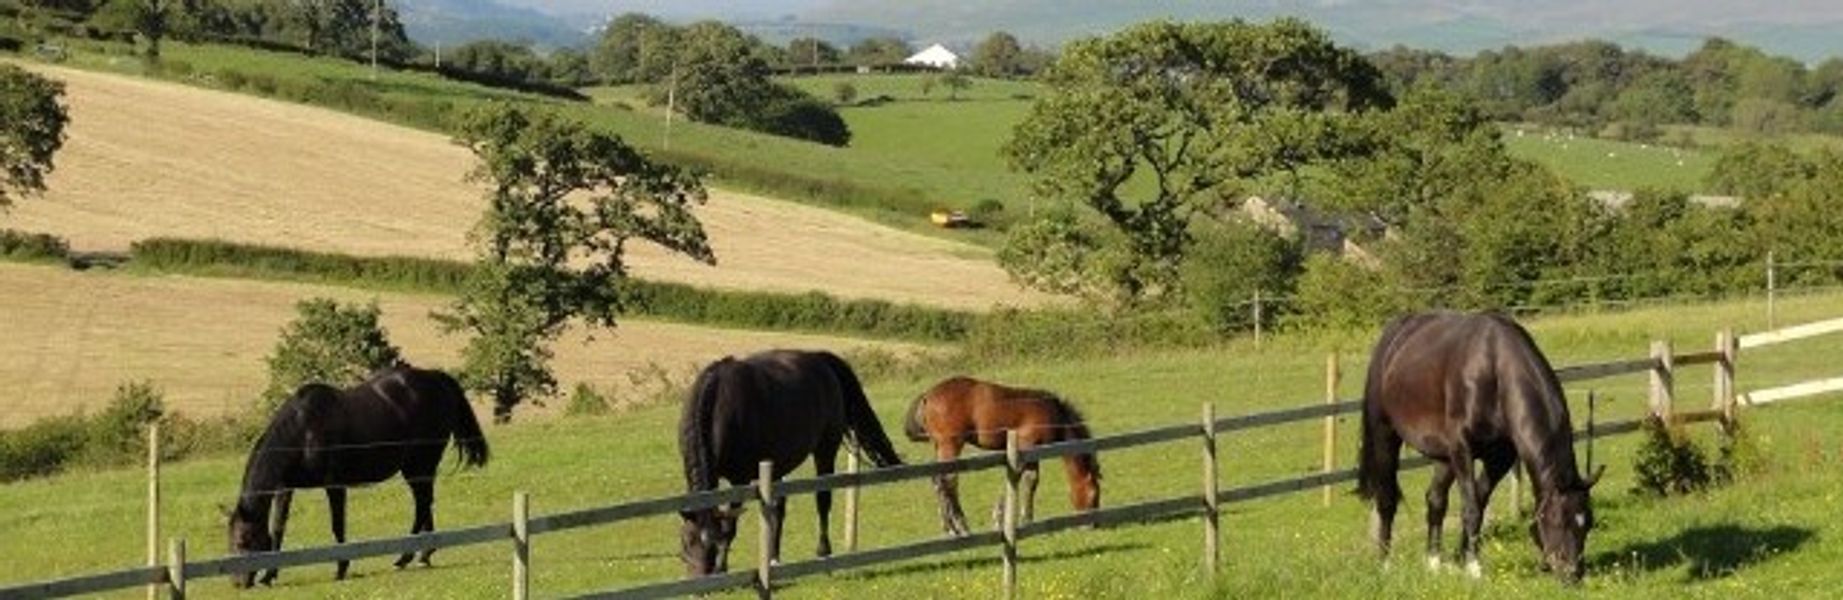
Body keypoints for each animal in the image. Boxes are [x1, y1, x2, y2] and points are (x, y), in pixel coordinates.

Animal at [223, 362, 490, 588]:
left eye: (243, 542)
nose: (238, 584)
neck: (304, 431)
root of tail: (436, 377)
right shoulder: (285, 488)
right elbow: (278, 528)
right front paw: (270, 574)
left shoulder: (334, 485)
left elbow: (337, 525)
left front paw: (341, 568)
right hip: (416, 468)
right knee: (425, 503)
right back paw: (424, 554)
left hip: (420, 464)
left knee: (422, 504)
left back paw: (405, 557)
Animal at [678, 351, 906, 577]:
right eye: (687, 542)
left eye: (712, 546)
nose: (699, 580)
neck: (718, 403)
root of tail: (821, 359)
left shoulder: (739, 480)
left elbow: (729, 527)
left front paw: (721, 568)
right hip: (778, 465)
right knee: (779, 509)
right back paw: (773, 558)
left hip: (825, 451)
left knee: (823, 500)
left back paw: (823, 551)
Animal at [903, 377, 1098, 537]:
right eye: (1094, 494)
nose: (1092, 526)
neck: (1053, 414)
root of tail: (927, 396)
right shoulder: (1026, 447)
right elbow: (1020, 479)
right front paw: (1001, 517)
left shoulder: (1031, 453)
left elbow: (1030, 482)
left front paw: (1026, 519)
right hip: (950, 445)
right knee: (948, 482)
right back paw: (962, 527)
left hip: (939, 446)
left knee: (937, 481)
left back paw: (949, 528)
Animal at [1349, 311, 1607, 585]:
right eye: (1558, 520)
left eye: (1587, 523)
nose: (1573, 574)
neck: (1494, 370)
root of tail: (1394, 335)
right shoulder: (1463, 449)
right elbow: (1471, 507)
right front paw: (1474, 568)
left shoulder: (1499, 457)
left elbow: (1479, 503)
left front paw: (1463, 559)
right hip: (1385, 435)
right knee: (1386, 499)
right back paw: (1384, 563)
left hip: (1445, 457)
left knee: (1435, 500)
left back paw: (1433, 563)